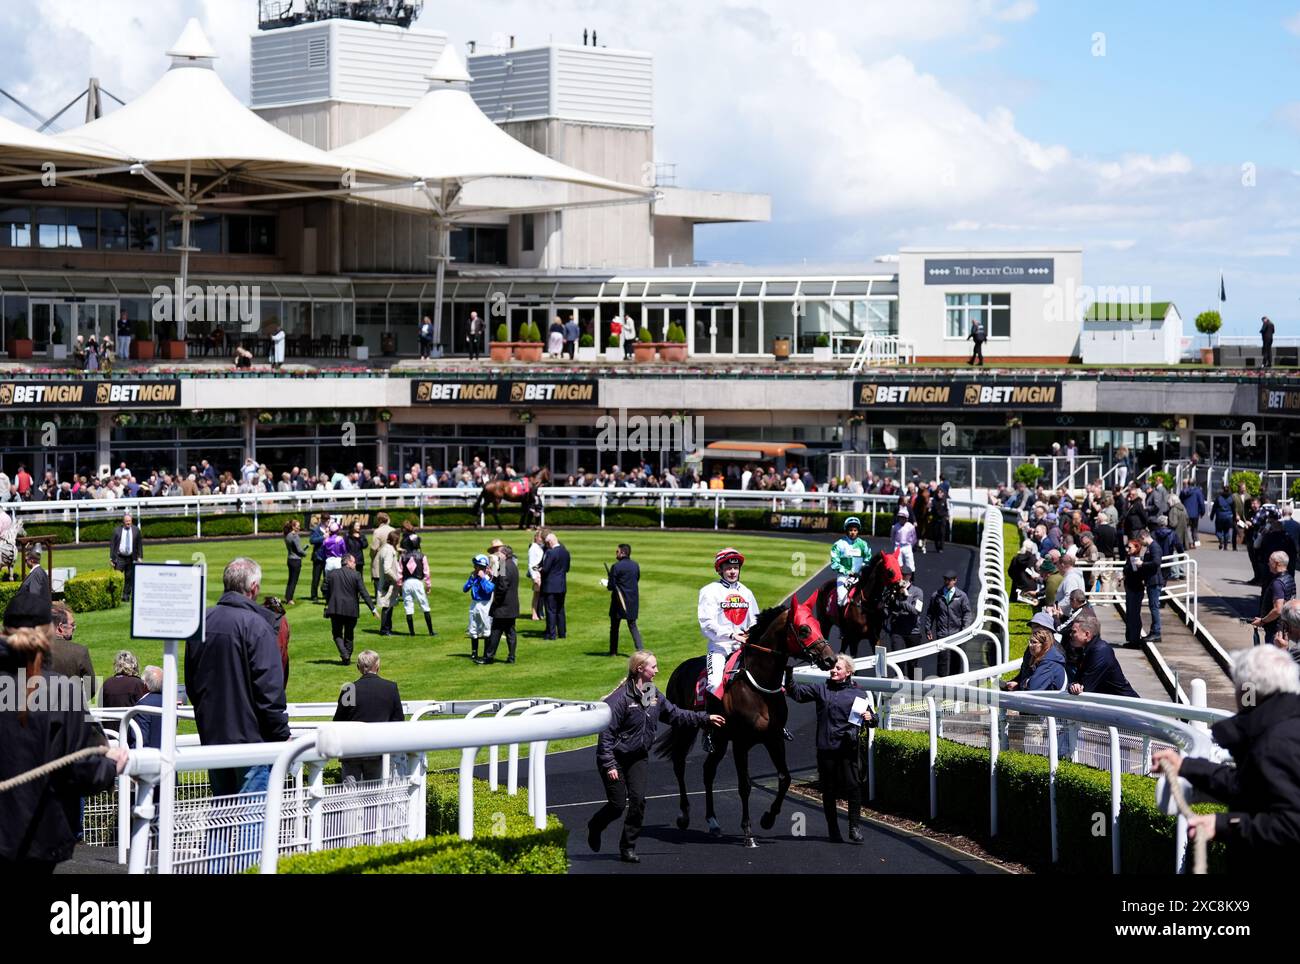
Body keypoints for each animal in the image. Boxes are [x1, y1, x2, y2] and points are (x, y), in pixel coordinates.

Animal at [660, 592, 832, 847]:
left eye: (818, 625)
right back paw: (684, 815)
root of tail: (679, 668)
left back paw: (713, 822)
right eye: (803, 629)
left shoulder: (773, 739)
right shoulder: (741, 743)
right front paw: (748, 832)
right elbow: (745, 785)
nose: (830, 659)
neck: (758, 685)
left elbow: (785, 778)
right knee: (679, 763)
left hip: (720, 739)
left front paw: (768, 818)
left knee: (708, 770)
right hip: (685, 728)